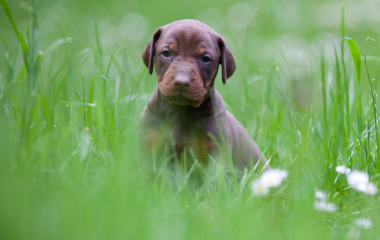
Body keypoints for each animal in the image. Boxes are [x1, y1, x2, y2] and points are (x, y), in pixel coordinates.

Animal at [138, 19, 268, 172]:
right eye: (166, 53)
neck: (180, 110)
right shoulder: (150, 144)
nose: (181, 82)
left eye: (205, 58)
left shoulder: (215, 152)